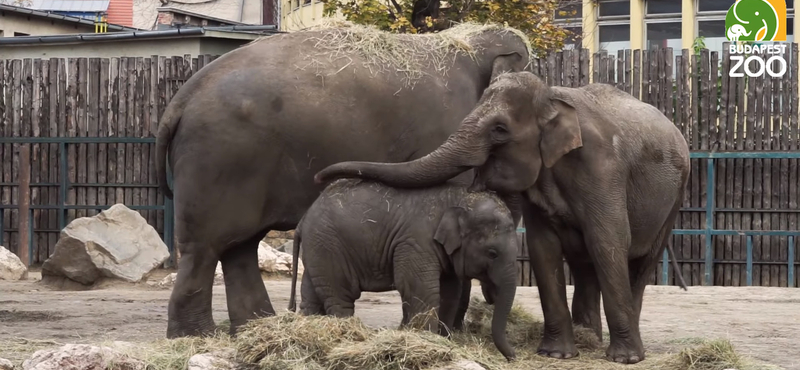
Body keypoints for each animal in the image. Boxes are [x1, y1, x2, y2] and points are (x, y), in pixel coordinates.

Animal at [155, 22, 532, 338]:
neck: (470, 41)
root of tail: (179, 100)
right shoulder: (450, 123)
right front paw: (451, 333)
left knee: (239, 246)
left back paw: (254, 328)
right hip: (219, 159)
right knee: (205, 247)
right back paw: (196, 336)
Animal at [288, 178, 520, 360]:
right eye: (492, 253)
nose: (514, 357)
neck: (459, 197)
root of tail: (303, 220)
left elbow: (450, 291)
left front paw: (440, 340)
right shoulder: (415, 242)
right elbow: (420, 288)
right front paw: (426, 340)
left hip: (318, 250)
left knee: (311, 294)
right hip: (329, 247)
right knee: (341, 297)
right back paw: (349, 335)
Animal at [316, 72, 692, 364]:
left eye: (499, 129)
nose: (321, 177)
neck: (552, 96)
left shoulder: (603, 169)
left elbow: (608, 242)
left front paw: (623, 360)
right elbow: (543, 249)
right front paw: (556, 354)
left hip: (675, 195)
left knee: (638, 262)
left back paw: (623, 347)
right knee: (585, 264)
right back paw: (589, 339)